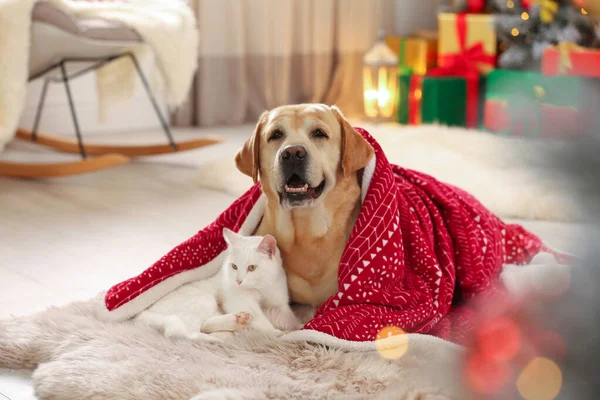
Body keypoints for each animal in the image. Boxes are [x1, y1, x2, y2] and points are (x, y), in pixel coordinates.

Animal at [134, 228, 298, 340]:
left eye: (252, 268)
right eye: (234, 266)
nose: (238, 281)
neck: (263, 286)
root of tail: (144, 313)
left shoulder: (279, 303)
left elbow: (289, 317)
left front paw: (298, 327)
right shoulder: (240, 301)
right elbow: (261, 321)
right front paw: (279, 333)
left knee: (205, 324)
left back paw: (235, 322)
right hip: (202, 300)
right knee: (181, 331)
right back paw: (217, 339)